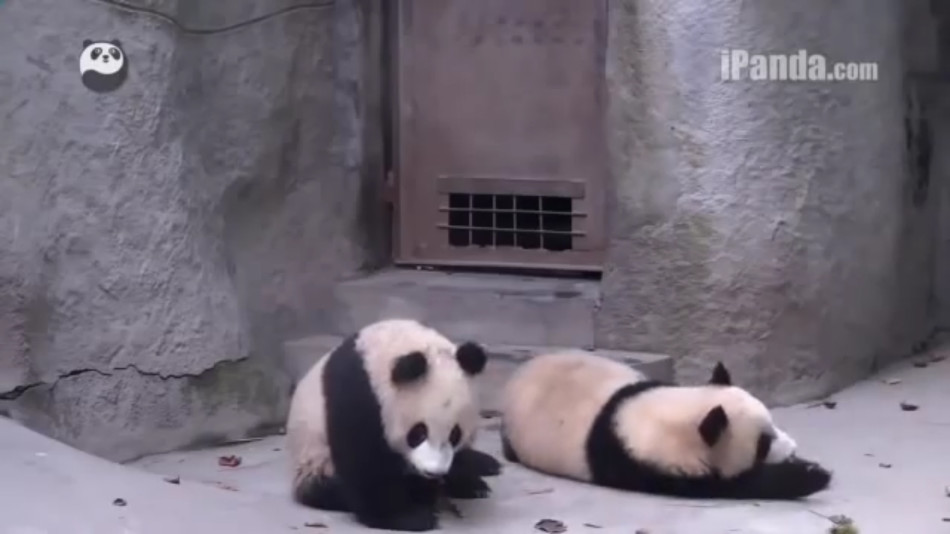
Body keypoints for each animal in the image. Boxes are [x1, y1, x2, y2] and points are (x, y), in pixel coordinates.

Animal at [286, 318, 503, 531]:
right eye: (418, 433)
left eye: (455, 434)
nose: (434, 472)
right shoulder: (358, 395)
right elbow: (367, 463)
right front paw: (409, 517)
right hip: (315, 458)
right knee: (326, 489)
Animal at [500, 350, 832, 500]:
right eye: (763, 444)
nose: (793, 448)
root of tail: (519, 373)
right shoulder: (647, 463)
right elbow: (736, 486)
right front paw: (811, 475)